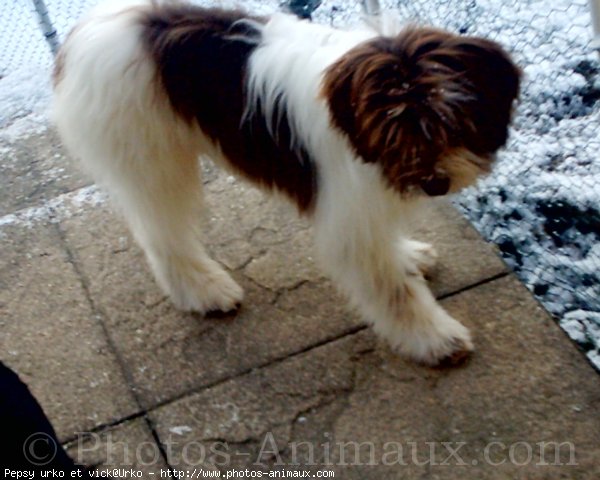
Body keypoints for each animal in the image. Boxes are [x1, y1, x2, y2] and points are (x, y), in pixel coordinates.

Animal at [51, 0, 520, 366]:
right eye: (391, 129)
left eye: (453, 119)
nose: (435, 183)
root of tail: (83, 34)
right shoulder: (349, 212)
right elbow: (393, 290)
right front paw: (436, 340)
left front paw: (408, 255)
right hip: (151, 159)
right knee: (163, 233)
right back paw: (204, 291)